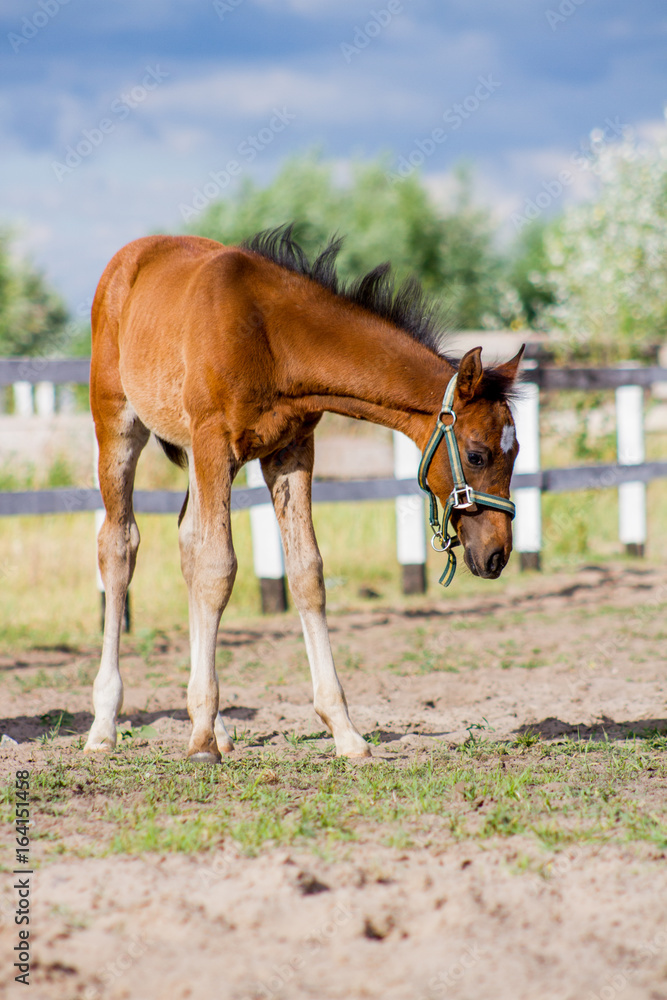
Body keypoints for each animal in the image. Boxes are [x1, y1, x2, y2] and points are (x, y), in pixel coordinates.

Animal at [85, 225, 523, 762]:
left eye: (518, 452)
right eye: (478, 455)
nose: (497, 553)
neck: (271, 338)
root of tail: (132, 255)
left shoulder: (291, 450)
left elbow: (305, 571)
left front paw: (344, 730)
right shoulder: (213, 441)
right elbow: (218, 568)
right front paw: (201, 742)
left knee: (188, 543)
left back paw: (215, 723)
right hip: (118, 424)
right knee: (119, 545)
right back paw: (106, 723)